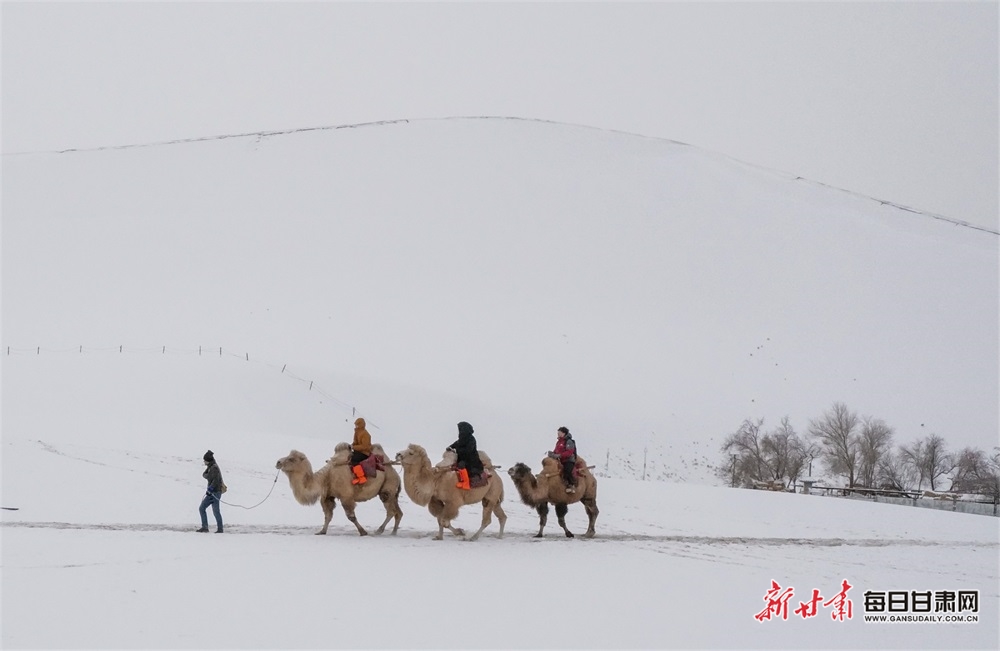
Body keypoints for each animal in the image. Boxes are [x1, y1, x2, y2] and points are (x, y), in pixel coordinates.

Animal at [276, 444, 404, 540]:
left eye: (291, 459)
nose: (278, 462)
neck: (326, 477)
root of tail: (396, 474)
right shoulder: (327, 496)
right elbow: (327, 516)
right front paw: (322, 531)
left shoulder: (346, 496)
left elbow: (351, 517)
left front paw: (363, 532)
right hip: (393, 493)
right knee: (398, 512)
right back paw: (393, 533)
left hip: (388, 486)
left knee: (391, 510)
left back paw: (379, 530)